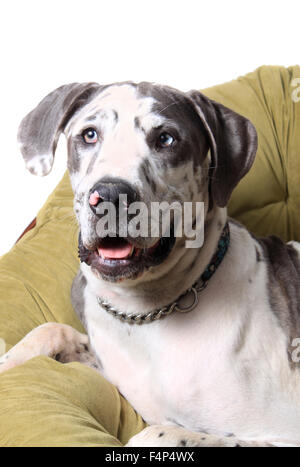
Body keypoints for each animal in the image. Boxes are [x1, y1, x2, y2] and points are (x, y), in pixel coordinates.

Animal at [0, 82, 300, 448]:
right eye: (89, 134)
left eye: (166, 139)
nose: (110, 195)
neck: (145, 312)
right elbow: (51, 329)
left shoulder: (283, 434)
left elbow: (152, 434)